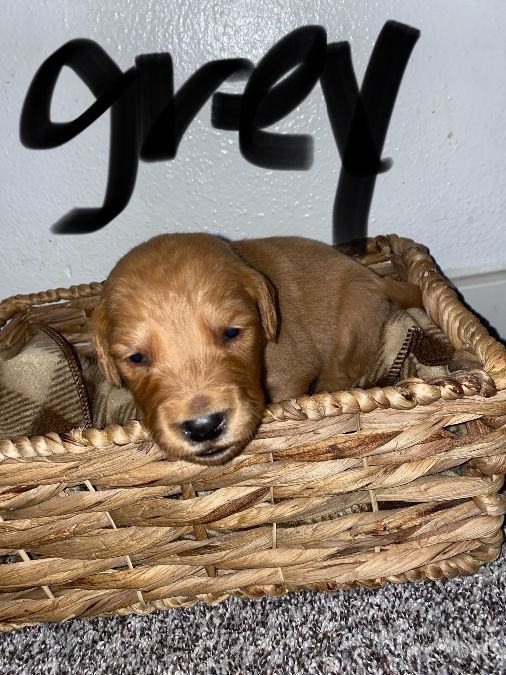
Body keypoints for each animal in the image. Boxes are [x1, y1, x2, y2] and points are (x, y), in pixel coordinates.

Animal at [89, 234, 422, 464]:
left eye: (231, 333)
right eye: (136, 357)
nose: (203, 427)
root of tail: (374, 277)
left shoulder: (291, 372)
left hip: (352, 320)